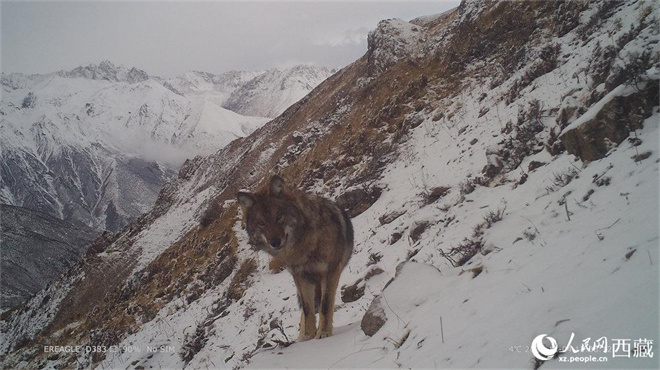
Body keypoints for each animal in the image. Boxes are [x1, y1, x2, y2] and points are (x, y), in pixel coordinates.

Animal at [236, 175, 354, 340]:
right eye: (261, 223)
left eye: (279, 216)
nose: (275, 242)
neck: (302, 248)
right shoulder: (300, 277)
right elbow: (307, 309)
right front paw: (307, 337)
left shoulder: (330, 272)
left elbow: (325, 305)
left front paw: (323, 333)